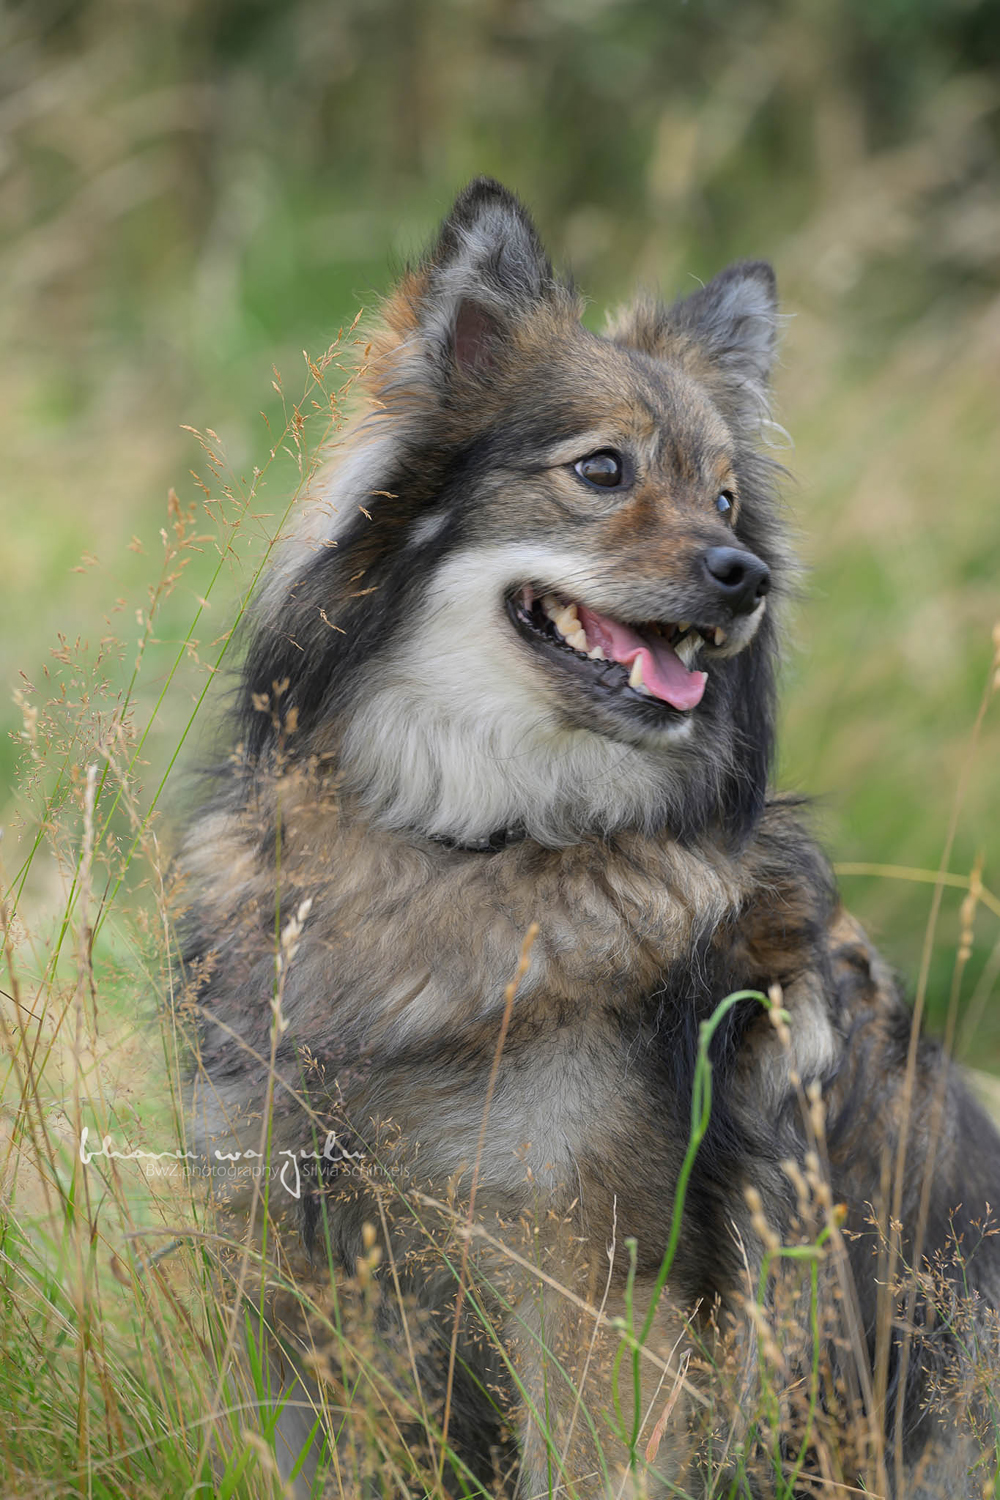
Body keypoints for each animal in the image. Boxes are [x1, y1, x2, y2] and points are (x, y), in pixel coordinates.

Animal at [182, 181, 1000, 1494]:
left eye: (724, 498)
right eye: (601, 470)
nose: (745, 574)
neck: (478, 840)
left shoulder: (596, 1286)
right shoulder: (314, 1276)